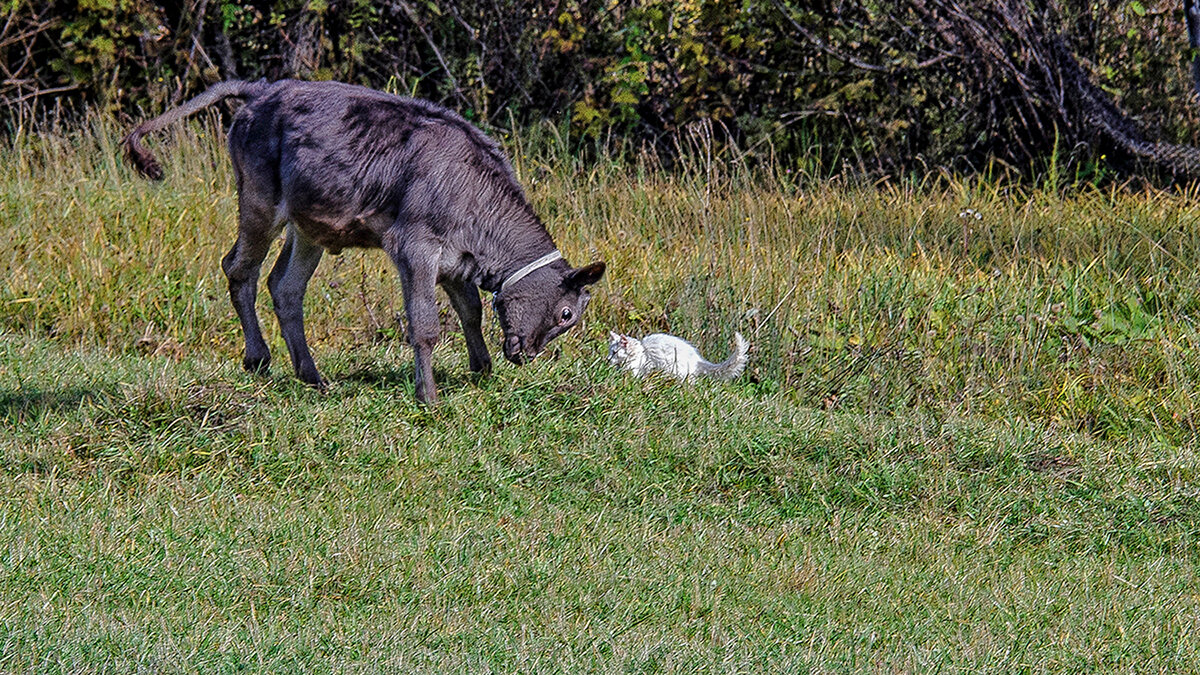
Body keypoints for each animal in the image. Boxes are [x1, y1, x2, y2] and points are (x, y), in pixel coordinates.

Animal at [609, 329, 748, 381]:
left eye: (615, 352)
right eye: (610, 351)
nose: (607, 359)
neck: (642, 352)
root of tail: (698, 360)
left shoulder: (637, 369)